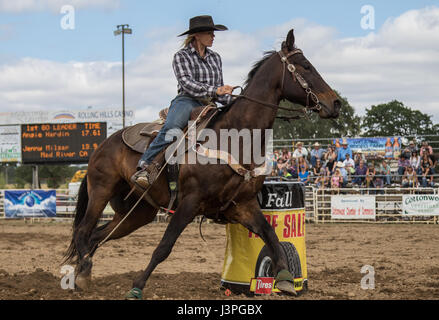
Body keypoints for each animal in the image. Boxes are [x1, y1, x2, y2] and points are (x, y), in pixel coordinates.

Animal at [64, 28, 340, 298]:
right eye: (306, 66)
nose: (335, 102)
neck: (234, 137)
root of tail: (102, 145)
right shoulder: (190, 201)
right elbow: (164, 246)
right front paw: (137, 286)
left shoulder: (243, 204)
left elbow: (271, 236)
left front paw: (284, 279)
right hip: (101, 190)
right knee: (83, 231)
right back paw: (83, 270)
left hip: (138, 211)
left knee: (98, 235)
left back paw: (82, 274)